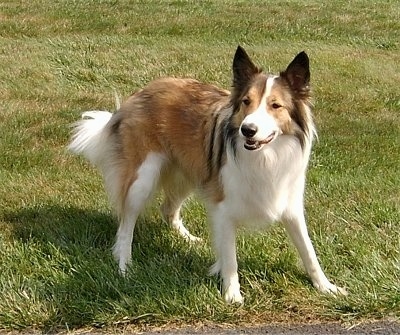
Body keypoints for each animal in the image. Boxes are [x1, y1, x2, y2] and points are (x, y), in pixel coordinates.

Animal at [69, 46, 344, 304]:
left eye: (275, 106)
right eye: (246, 102)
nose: (247, 130)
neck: (266, 156)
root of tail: (139, 93)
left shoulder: (289, 204)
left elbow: (308, 251)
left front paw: (326, 287)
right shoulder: (223, 208)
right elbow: (231, 258)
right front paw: (232, 296)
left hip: (192, 173)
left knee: (167, 209)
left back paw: (187, 238)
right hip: (143, 178)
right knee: (126, 224)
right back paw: (124, 266)